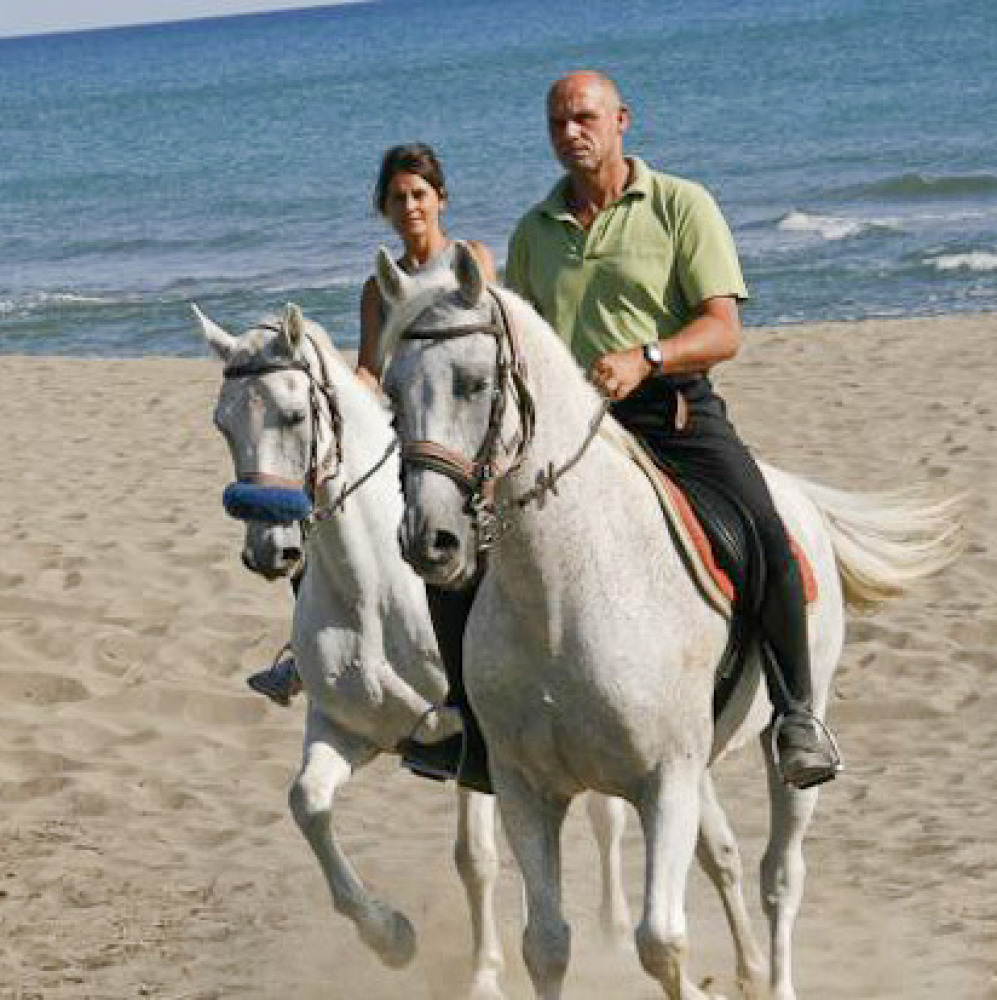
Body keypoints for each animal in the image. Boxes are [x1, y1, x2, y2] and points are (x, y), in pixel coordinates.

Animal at [194, 304, 632, 1000]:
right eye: (222, 422)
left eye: (291, 415)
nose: (269, 548)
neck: (373, 591)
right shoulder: (347, 728)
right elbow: (307, 805)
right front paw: (391, 938)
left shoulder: (472, 745)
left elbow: (475, 860)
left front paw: (484, 976)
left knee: (608, 818)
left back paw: (615, 936)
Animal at [376, 244, 964, 1000]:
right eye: (392, 396)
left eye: (475, 384)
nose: (433, 542)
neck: (562, 598)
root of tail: (796, 494)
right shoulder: (525, 789)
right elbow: (546, 943)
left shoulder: (663, 781)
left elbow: (660, 940)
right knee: (723, 858)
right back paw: (746, 970)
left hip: (783, 741)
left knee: (780, 876)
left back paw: (774, 976)